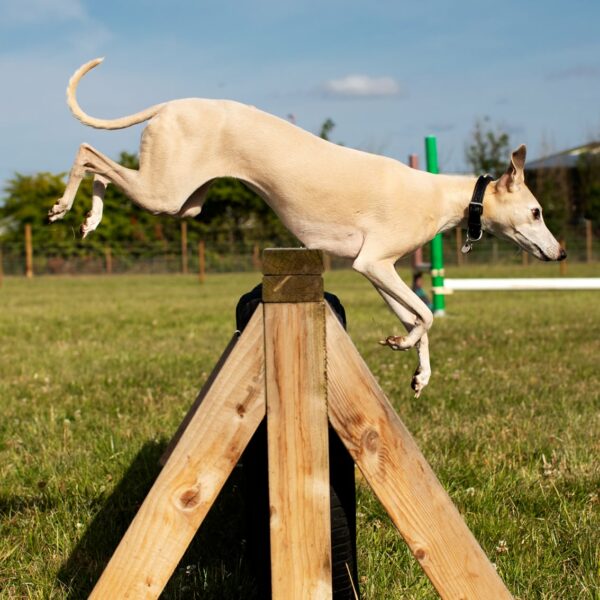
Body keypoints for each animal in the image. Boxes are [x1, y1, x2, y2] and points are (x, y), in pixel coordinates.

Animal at [49, 58, 564, 396]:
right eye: (537, 212)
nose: (559, 253)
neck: (444, 195)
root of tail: (170, 104)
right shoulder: (374, 263)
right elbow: (428, 312)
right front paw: (406, 347)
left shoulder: (378, 272)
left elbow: (417, 316)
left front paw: (417, 369)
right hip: (165, 193)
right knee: (86, 152)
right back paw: (63, 205)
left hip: (181, 203)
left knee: (101, 168)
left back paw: (90, 217)